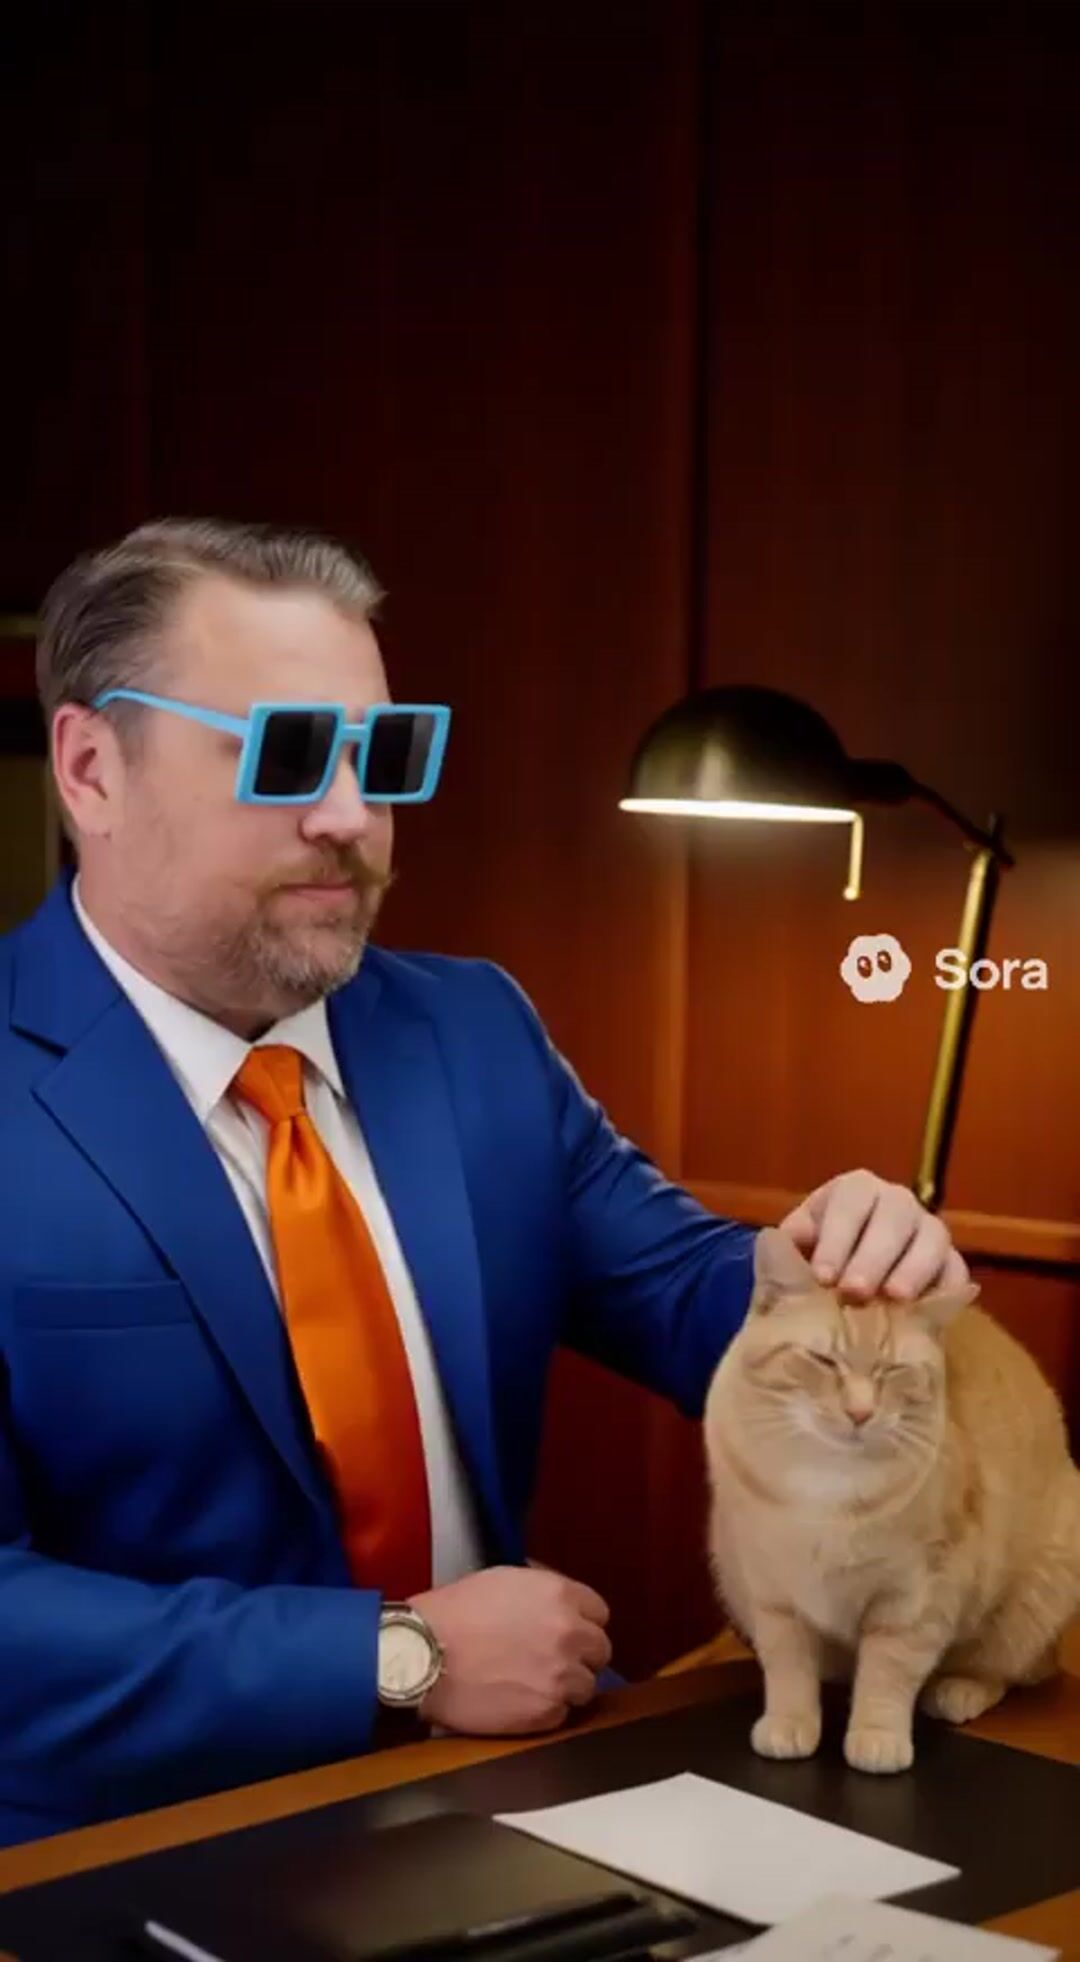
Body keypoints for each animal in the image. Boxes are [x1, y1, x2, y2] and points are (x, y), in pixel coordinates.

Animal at [703, 1225, 1080, 1775]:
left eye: (893, 1371)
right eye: (824, 1361)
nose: (860, 1412)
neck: (826, 1486)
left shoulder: (916, 1598)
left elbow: (889, 1673)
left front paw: (877, 1735)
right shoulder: (771, 1591)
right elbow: (788, 1665)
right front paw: (791, 1720)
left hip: (1037, 1598)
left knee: (1003, 1667)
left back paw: (961, 1689)